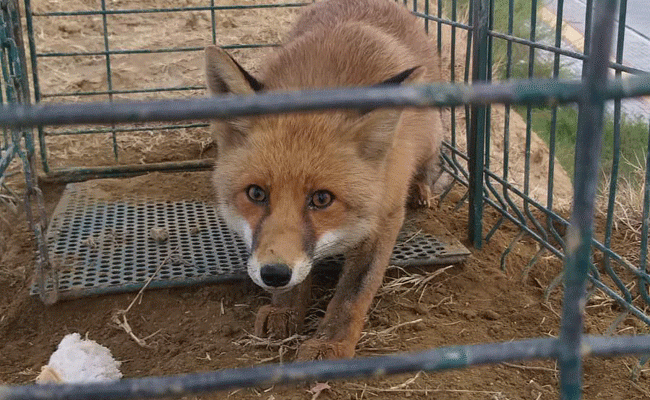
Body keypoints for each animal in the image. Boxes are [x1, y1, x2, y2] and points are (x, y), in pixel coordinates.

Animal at [205, 0, 442, 360]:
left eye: (321, 199)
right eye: (256, 193)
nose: (274, 274)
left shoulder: (385, 215)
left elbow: (353, 293)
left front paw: (331, 342)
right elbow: (300, 279)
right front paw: (285, 309)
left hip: (432, 135)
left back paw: (423, 189)